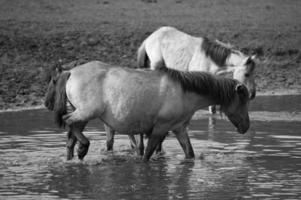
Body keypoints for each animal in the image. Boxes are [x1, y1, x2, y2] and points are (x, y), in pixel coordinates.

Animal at [44, 60, 250, 161]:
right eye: (243, 101)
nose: (246, 127)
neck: (184, 92)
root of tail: (71, 72)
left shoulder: (179, 128)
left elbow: (189, 154)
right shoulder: (160, 128)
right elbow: (147, 154)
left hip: (83, 115)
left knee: (71, 136)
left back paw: (75, 156)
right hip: (87, 112)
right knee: (69, 122)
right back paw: (83, 148)